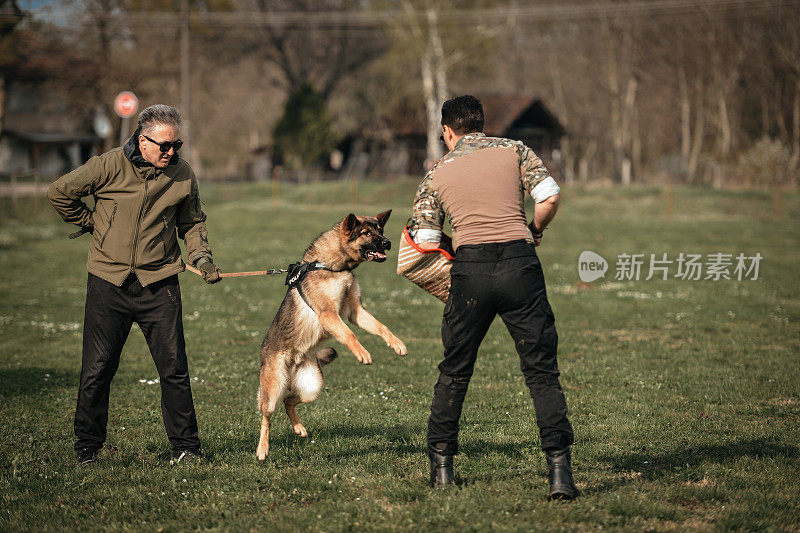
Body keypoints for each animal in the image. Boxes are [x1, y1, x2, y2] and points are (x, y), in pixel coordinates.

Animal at [256, 210, 406, 460]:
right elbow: (349, 335)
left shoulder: (355, 311)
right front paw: (363, 353)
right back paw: (262, 449)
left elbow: (381, 327)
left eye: (380, 230)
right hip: (273, 390)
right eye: (366, 233)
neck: (331, 266)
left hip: (312, 388)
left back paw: (298, 428)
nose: (388, 243)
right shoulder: (329, 315)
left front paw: (397, 344)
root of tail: (293, 364)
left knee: (289, 401)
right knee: (267, 417)